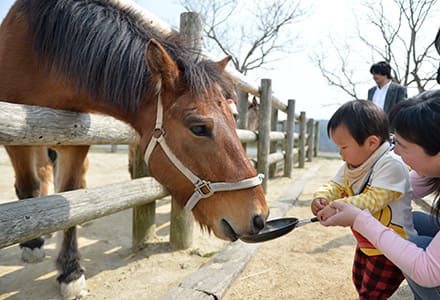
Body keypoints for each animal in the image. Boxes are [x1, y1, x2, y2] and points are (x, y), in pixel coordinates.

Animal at [0, 0, 268, 298]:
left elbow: (68, 197)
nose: (260, 217)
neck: (40, 50)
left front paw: (70, 270)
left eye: (234, 119)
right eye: (199, 128)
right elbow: (29, 186)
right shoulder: (17, 132)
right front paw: (34, 245)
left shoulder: (75, 136)